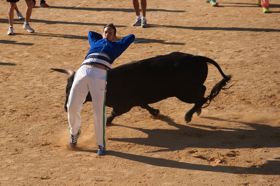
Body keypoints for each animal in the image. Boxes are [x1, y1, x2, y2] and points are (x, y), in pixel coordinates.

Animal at [51, 52, 231, 124]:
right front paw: (156, 112)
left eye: (75, 89)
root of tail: (197, 58)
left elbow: (114, 113)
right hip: (187, 90)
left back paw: (189, 115)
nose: (66, 107)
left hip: (183, 93)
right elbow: (145, 105)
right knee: (203, 91)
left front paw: (107, 122)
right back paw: (197, 111)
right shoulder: (136, 100)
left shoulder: (124, 105)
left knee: (202, 95)